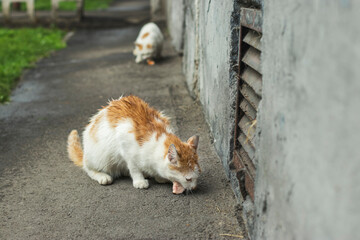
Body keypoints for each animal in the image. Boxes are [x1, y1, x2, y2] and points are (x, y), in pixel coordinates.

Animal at [67, 94, 200, 194]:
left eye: (197, 176)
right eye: (188, 179)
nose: (194, 187)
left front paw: (159, 177)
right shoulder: (126, 146)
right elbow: (134, 167)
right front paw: (139, 181)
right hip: (99, 156)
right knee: (88, 168)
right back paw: (102, 176)